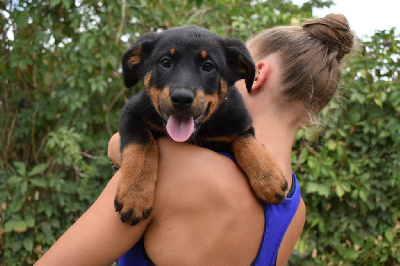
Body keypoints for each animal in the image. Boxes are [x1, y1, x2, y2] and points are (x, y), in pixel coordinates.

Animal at [115, 26, 288, 224]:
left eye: (208, 66)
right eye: (165, 62)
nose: (182, 98)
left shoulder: (240, 124)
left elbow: (247, 142)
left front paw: (268, 178)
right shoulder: (132, 113)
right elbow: (140, 145)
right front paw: (135, 194)